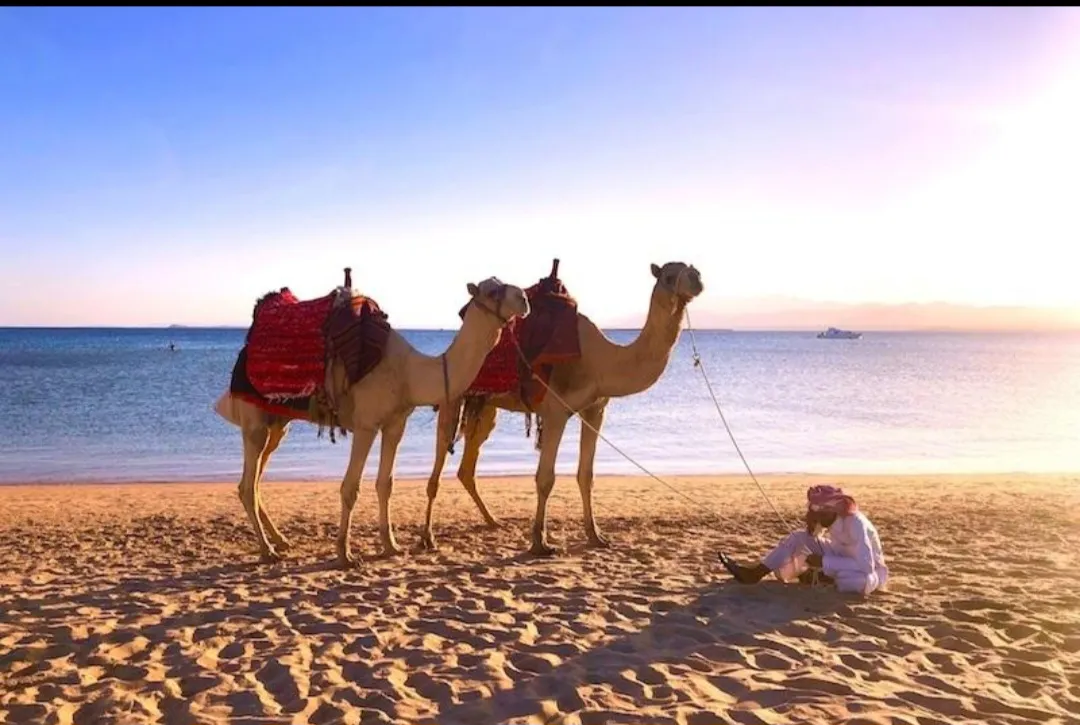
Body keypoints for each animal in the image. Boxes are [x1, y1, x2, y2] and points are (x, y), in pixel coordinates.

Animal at [214, 277, 530, 567]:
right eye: (492, 290)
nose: (524, 299)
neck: (409, 374)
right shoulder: (366, 425)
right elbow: (350, 487)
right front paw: (345, 554)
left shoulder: (395, 425)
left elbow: (385, 484)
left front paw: (391, 546)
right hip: (254, 421)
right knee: (247, 485)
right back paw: (267, 550)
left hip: (278, 422)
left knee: (254, 480)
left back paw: (280, 541)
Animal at [422, 261, 704, 555]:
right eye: (669, 276)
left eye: (690, 268)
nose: (696, 279)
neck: (600, 361)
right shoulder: (556, 411)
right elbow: (545, 478)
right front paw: (540, 541)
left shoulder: (596, 410)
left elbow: (586, 475)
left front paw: (595, 535)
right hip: (452, 398)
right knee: (438, 469)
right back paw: (428, 537)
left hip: (486, 408)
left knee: (467, 468)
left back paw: (493, 521)